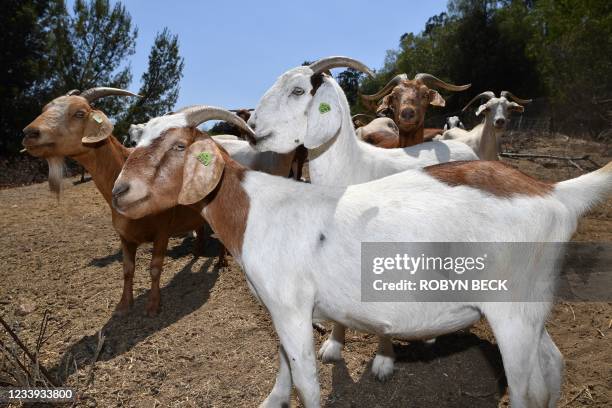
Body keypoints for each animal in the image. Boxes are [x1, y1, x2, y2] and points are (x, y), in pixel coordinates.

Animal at [112, 105, 612, 408]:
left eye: (179, 146)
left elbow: (306, 379)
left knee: (528, 388)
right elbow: (284, 363)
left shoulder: (292, 308)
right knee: (553, 365)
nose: (120, 191)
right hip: (531, 308)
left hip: (511, 312)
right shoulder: (280, 309)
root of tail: (554, 193)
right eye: (135, 141)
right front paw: (273, 398)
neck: (255, 209)